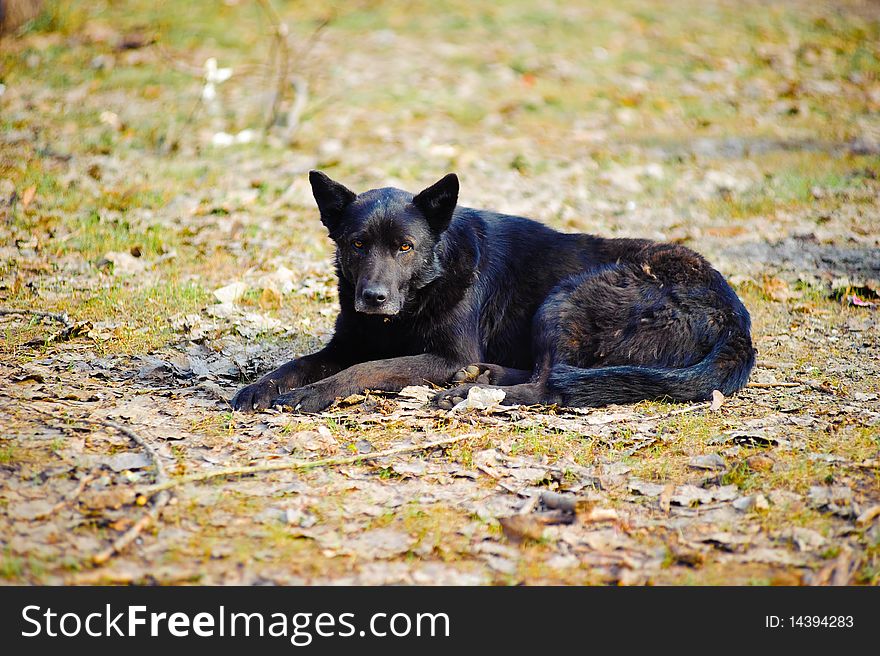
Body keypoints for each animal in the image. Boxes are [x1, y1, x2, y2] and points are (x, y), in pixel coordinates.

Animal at [232, 172, 756, 412]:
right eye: (357, 244)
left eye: (405, 246)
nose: (372, 297)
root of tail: (736, 318)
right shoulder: (345, 344)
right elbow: (297, 364)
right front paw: (257, 388)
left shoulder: (445, 356)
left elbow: (367, 369)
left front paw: (314, 394)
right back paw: (484, 377)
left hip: (566, 297)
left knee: (550, 384)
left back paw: (466, 392)